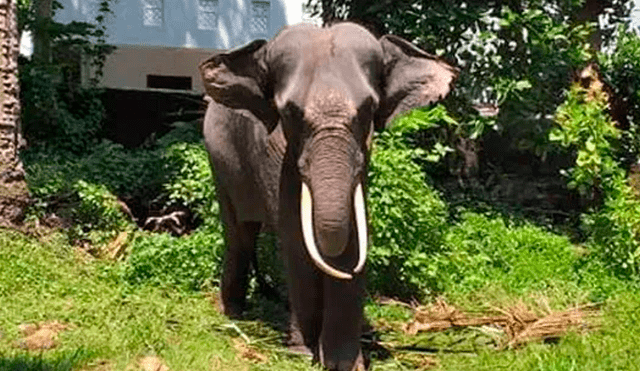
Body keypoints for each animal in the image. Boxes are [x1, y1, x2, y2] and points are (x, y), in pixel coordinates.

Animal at [198, 22, 458, 371]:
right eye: (289, 112)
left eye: (369, 110)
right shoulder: (275, 152)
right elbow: (295, 238)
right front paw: (303, 351)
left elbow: (353, 237)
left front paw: (343, 363)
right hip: (217, 154)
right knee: (239, 233)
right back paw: (234, 313)